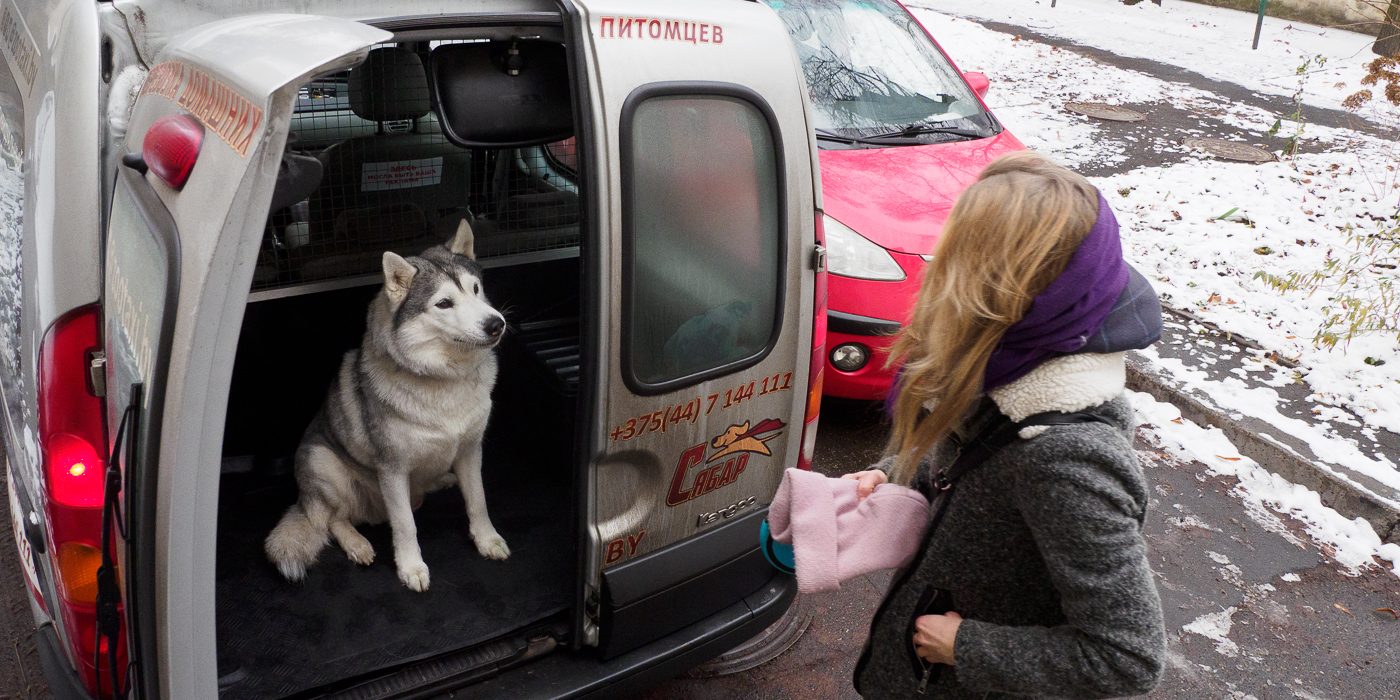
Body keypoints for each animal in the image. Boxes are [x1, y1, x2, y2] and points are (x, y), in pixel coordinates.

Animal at [264, 219, 512, 590]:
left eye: (476, 288)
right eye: (444, 303)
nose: (496, 324)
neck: (444, 379)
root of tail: (303, 500)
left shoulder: (471, 450)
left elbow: (478, 501)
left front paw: (487, 540)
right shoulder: (392, 469)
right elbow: (405, 524)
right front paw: (411, 567)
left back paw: (441, 479)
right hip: (322, 461)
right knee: (332, 519)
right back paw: (357, 544)